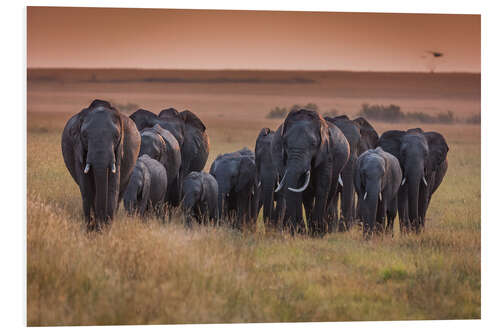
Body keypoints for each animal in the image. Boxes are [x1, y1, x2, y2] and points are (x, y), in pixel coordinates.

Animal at [62, 98, 142, 228]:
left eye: (116, 136)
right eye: (84, 135)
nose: (99, 222)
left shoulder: (119, 151)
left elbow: (112, 185)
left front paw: (106, 227)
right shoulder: (77, 147)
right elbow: (86, 186)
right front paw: (90, 227)